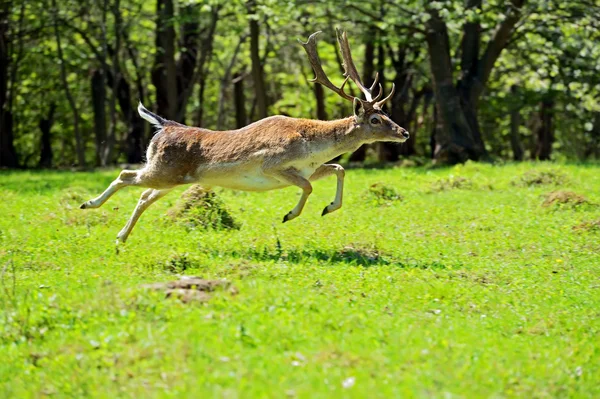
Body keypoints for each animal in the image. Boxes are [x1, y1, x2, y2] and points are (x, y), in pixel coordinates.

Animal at [79, 29, 408, 244]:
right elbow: (308, 187)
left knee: (144, 195)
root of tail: (165, 125)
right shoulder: (273, 164)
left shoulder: (308, 169)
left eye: (387, 113)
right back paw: (89, 205)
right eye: (376, 119)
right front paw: (289, 215)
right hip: (162, 170)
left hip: (171, 178)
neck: (311, 146)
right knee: (125, 174)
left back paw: (121, 237)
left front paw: (329, 208)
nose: (404, 132)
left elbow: (338, 168)